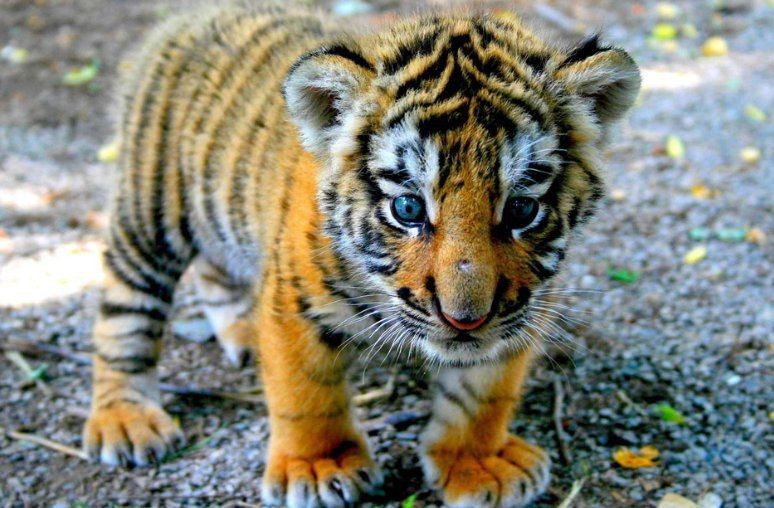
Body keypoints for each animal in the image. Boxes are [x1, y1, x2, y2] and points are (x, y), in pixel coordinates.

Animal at [82, 4, 640, 507]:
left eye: (522, 208)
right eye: (408, 208)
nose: (465, 320)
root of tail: (192, 16)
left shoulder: (522, 307)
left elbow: (484, 391)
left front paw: (477, 462)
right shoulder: (294, 300)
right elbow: (305, 391)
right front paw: (318, 466)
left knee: (215, 274)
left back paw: (242, 334)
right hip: (149, 214)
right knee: (124, 313)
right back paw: (126, 419)